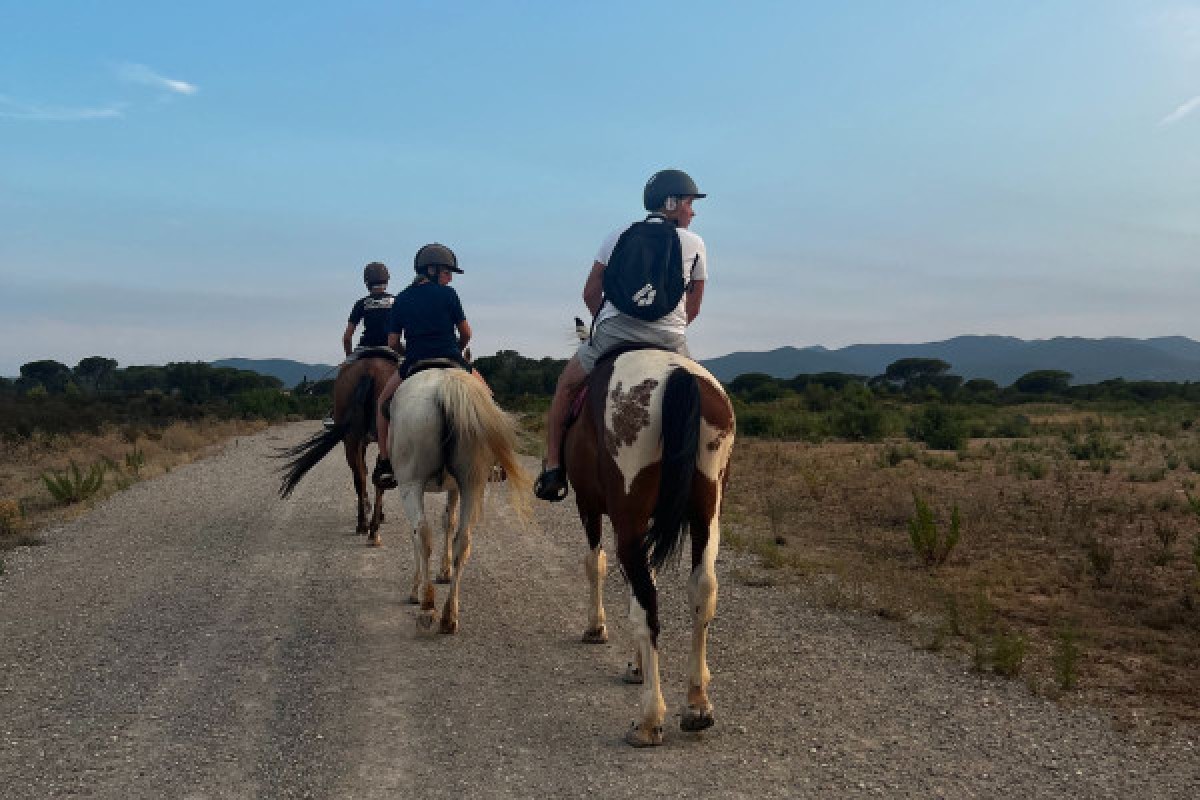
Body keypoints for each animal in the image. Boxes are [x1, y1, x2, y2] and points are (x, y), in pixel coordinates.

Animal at [369, 362, 532, 634]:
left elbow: (418, 533)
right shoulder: (455, 487)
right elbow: (449, 522)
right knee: (463, 540)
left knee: (422, 535)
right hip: (472, 484)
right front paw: (444, 572)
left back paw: (427, 607)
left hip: (411, 484)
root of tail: (446, 386)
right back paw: (449, 615)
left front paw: (416, 589)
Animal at [563, 347, 735, 747]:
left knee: (646, 607)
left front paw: (596, 628)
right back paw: (697, 706)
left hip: (628, 515)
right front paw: (637, 664)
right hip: (708, 510)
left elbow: (595, 564)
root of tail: (677, 374)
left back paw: (649, 719)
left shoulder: (588, 505)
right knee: (702, 590)